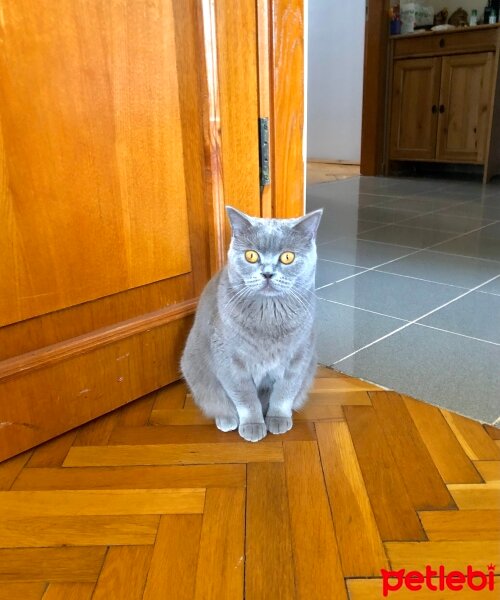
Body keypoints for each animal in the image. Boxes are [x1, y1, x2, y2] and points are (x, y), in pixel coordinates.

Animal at [182, 206, 322, 440]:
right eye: (251, 255)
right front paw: (253, 426)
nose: (267, 273)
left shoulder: (299, 356)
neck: (269, 316)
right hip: (194, 368)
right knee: (216, 400)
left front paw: (278, 419)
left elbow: (285, 392)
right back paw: (227, 420)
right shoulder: (229, 360)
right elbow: (245, 398)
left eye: (287, 257)